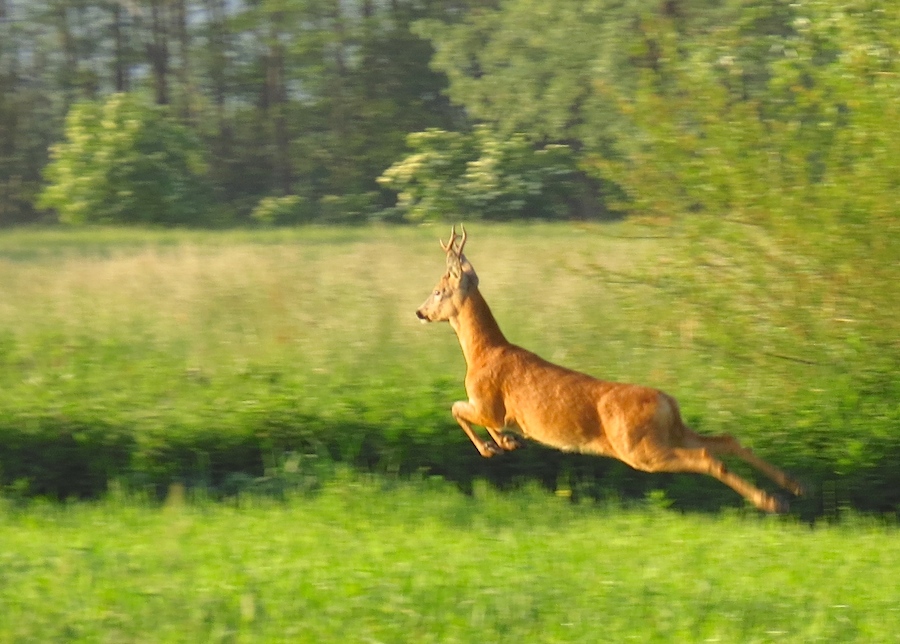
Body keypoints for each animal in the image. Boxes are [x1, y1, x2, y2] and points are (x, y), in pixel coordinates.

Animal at [418, 226, 804, 512]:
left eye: (437, 291)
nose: (420, 312)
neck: (482, 353)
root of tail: (668, 402)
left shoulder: (487, 402)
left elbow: (456, 408)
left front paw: (493, 447)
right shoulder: (494, 409)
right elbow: (476, 417)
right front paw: (509, 442)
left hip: (638, 448)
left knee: (708, 458)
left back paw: (772, 501)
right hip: (669, 433)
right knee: (727, 440)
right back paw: (793, 487)